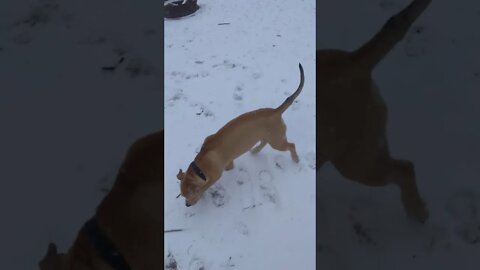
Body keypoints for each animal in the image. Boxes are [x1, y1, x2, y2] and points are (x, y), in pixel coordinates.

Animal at [176, 63, 304, 207]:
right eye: (182, 196)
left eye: (191, 195)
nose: (187, 205)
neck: (200, 167)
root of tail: (275, 112)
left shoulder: (215, 175)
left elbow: (208, 184)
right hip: (268, 136)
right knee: (264, 142)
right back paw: (255, 150)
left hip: (277, 141)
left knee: (291, 145)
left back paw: (295, 159)